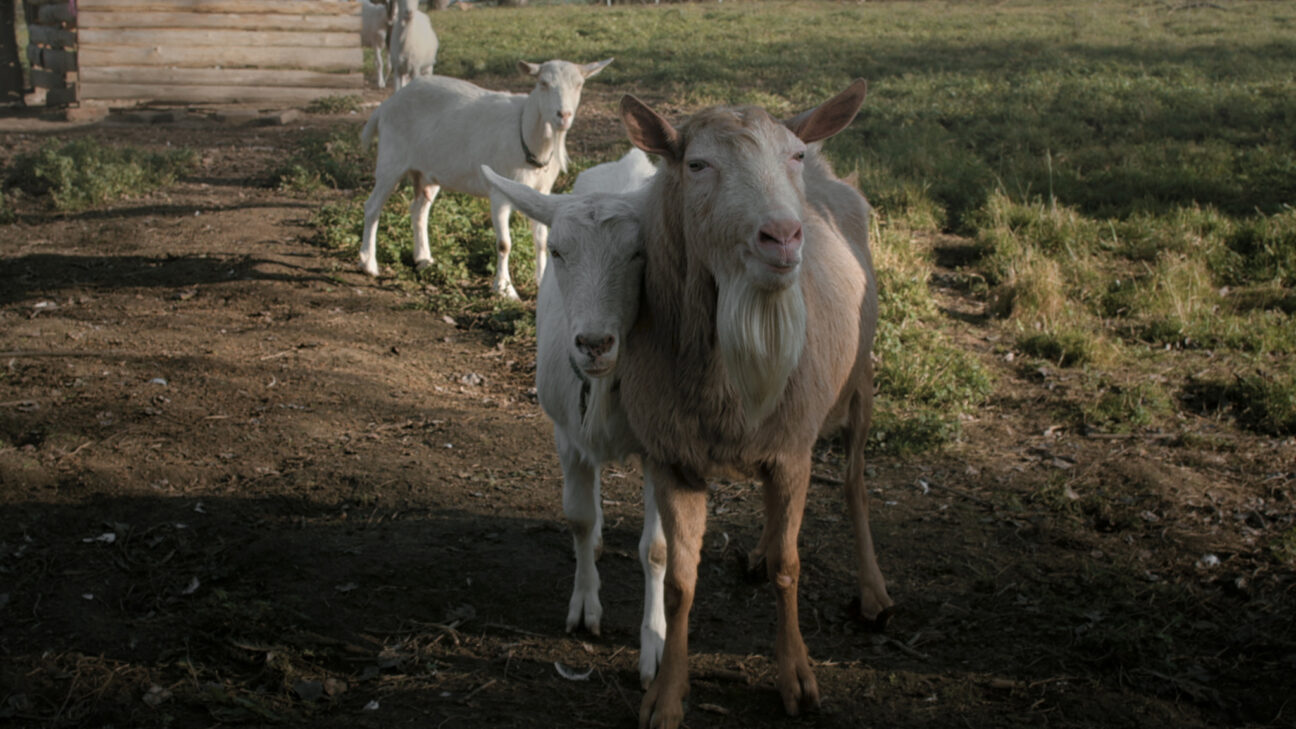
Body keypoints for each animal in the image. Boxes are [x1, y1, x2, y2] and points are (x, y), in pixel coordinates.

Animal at [358, 58, 614, 299]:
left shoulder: (542, 191)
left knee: (418, 210)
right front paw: (504, 289)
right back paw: (369, 263)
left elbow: (541, 240)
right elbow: (504, 244)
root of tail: (387, 105)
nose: (564, 115)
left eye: (579, 84)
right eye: (543, 83)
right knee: (373, 206)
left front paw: (540, 281)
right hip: (391, 160)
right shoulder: (499, 193)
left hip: (427, 172)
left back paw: (423, 259)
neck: (526, 132)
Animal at [480, 161, 666, 686]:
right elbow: (579, 519)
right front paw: (584, 609)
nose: (594, 343)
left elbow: (656, 548)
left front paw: (654, 645)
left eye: (639, 253)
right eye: (557, 252)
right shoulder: (567, 431)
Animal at [616, 81, 893, 729]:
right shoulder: (673, 457)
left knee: (854, 481)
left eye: (791, 156)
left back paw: (873, 593)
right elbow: (680, 581)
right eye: (696, 164)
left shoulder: (792, 448)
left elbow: (792, 569)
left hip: (860, 382)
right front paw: (666, 696)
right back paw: (763, 549)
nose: (784, 236)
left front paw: (797, 679)